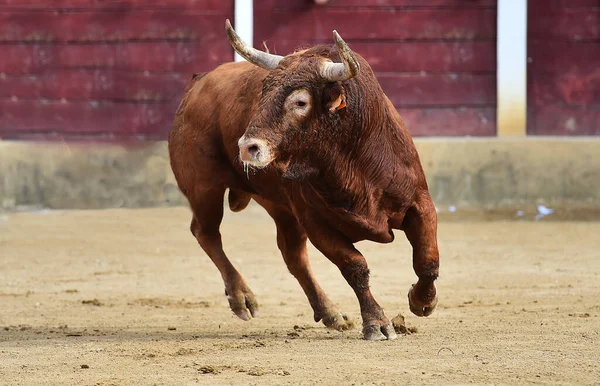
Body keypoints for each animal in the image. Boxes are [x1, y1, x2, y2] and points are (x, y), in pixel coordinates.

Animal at [169, 20, 440, 340]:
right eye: (262, 94)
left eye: (300, 102)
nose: (247, 147)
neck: (355, 161)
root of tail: (197, 84)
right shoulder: (316, 223)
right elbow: (355, 267)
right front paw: (377, 323)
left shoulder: (420, 202)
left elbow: (427, 260)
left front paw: (422, 301)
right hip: (203, 187)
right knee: (207, 233)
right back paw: (242, 298)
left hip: (277, 205)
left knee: (292, 254)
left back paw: (331, 313)